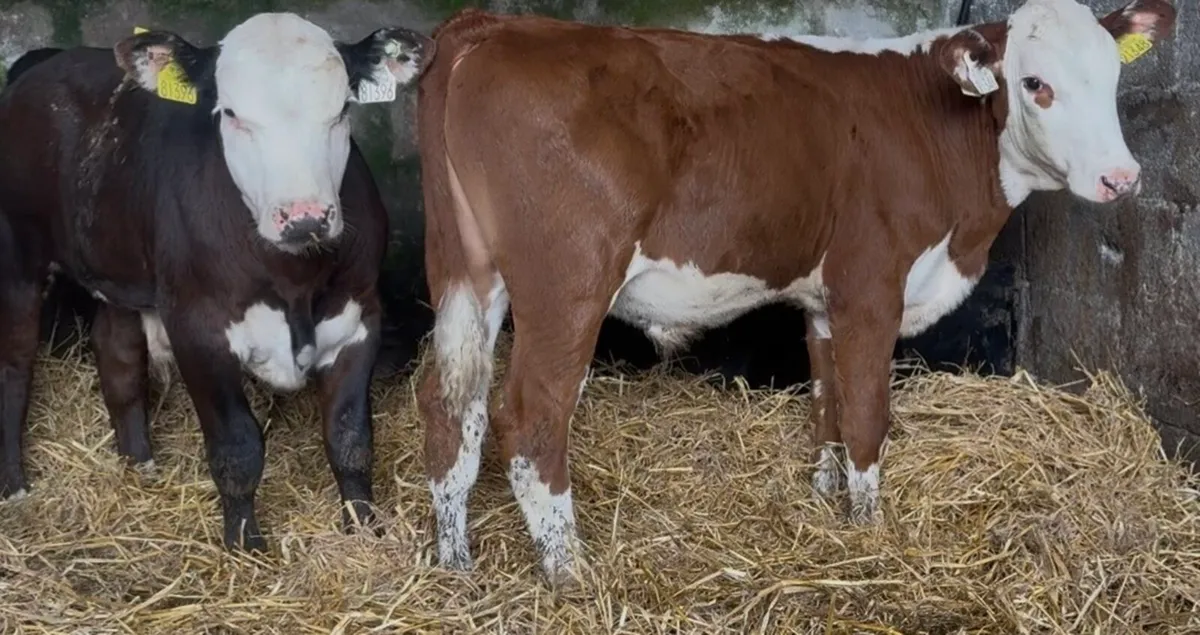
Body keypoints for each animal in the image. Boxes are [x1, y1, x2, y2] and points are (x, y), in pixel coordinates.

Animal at [0, 13, 432, 553]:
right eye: (231, 114)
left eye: (342, 111)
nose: (305, 217)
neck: (295, 279)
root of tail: (46, 58)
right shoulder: (197, 327)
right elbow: (237, 446)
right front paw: (246, 545)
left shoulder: (359, 318)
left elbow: (350, 437)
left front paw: (364, 529)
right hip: (19, 260)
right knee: (14, 367)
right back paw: (15, 486)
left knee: (116, 352)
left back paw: (139, 464)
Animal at [413, 0, 1176, 583]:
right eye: (1036, 84)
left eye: (1114, 76)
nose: (1120, 178)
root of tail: (490, 26)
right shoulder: (870, 286)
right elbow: (866, 416)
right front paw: (869, 532)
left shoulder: (826, 302)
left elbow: (827, 406)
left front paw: (824, 500)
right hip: (567, 281)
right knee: (531, 418)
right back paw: (568, 571)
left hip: (465, 273)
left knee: (452, 405)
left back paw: (456, 565)